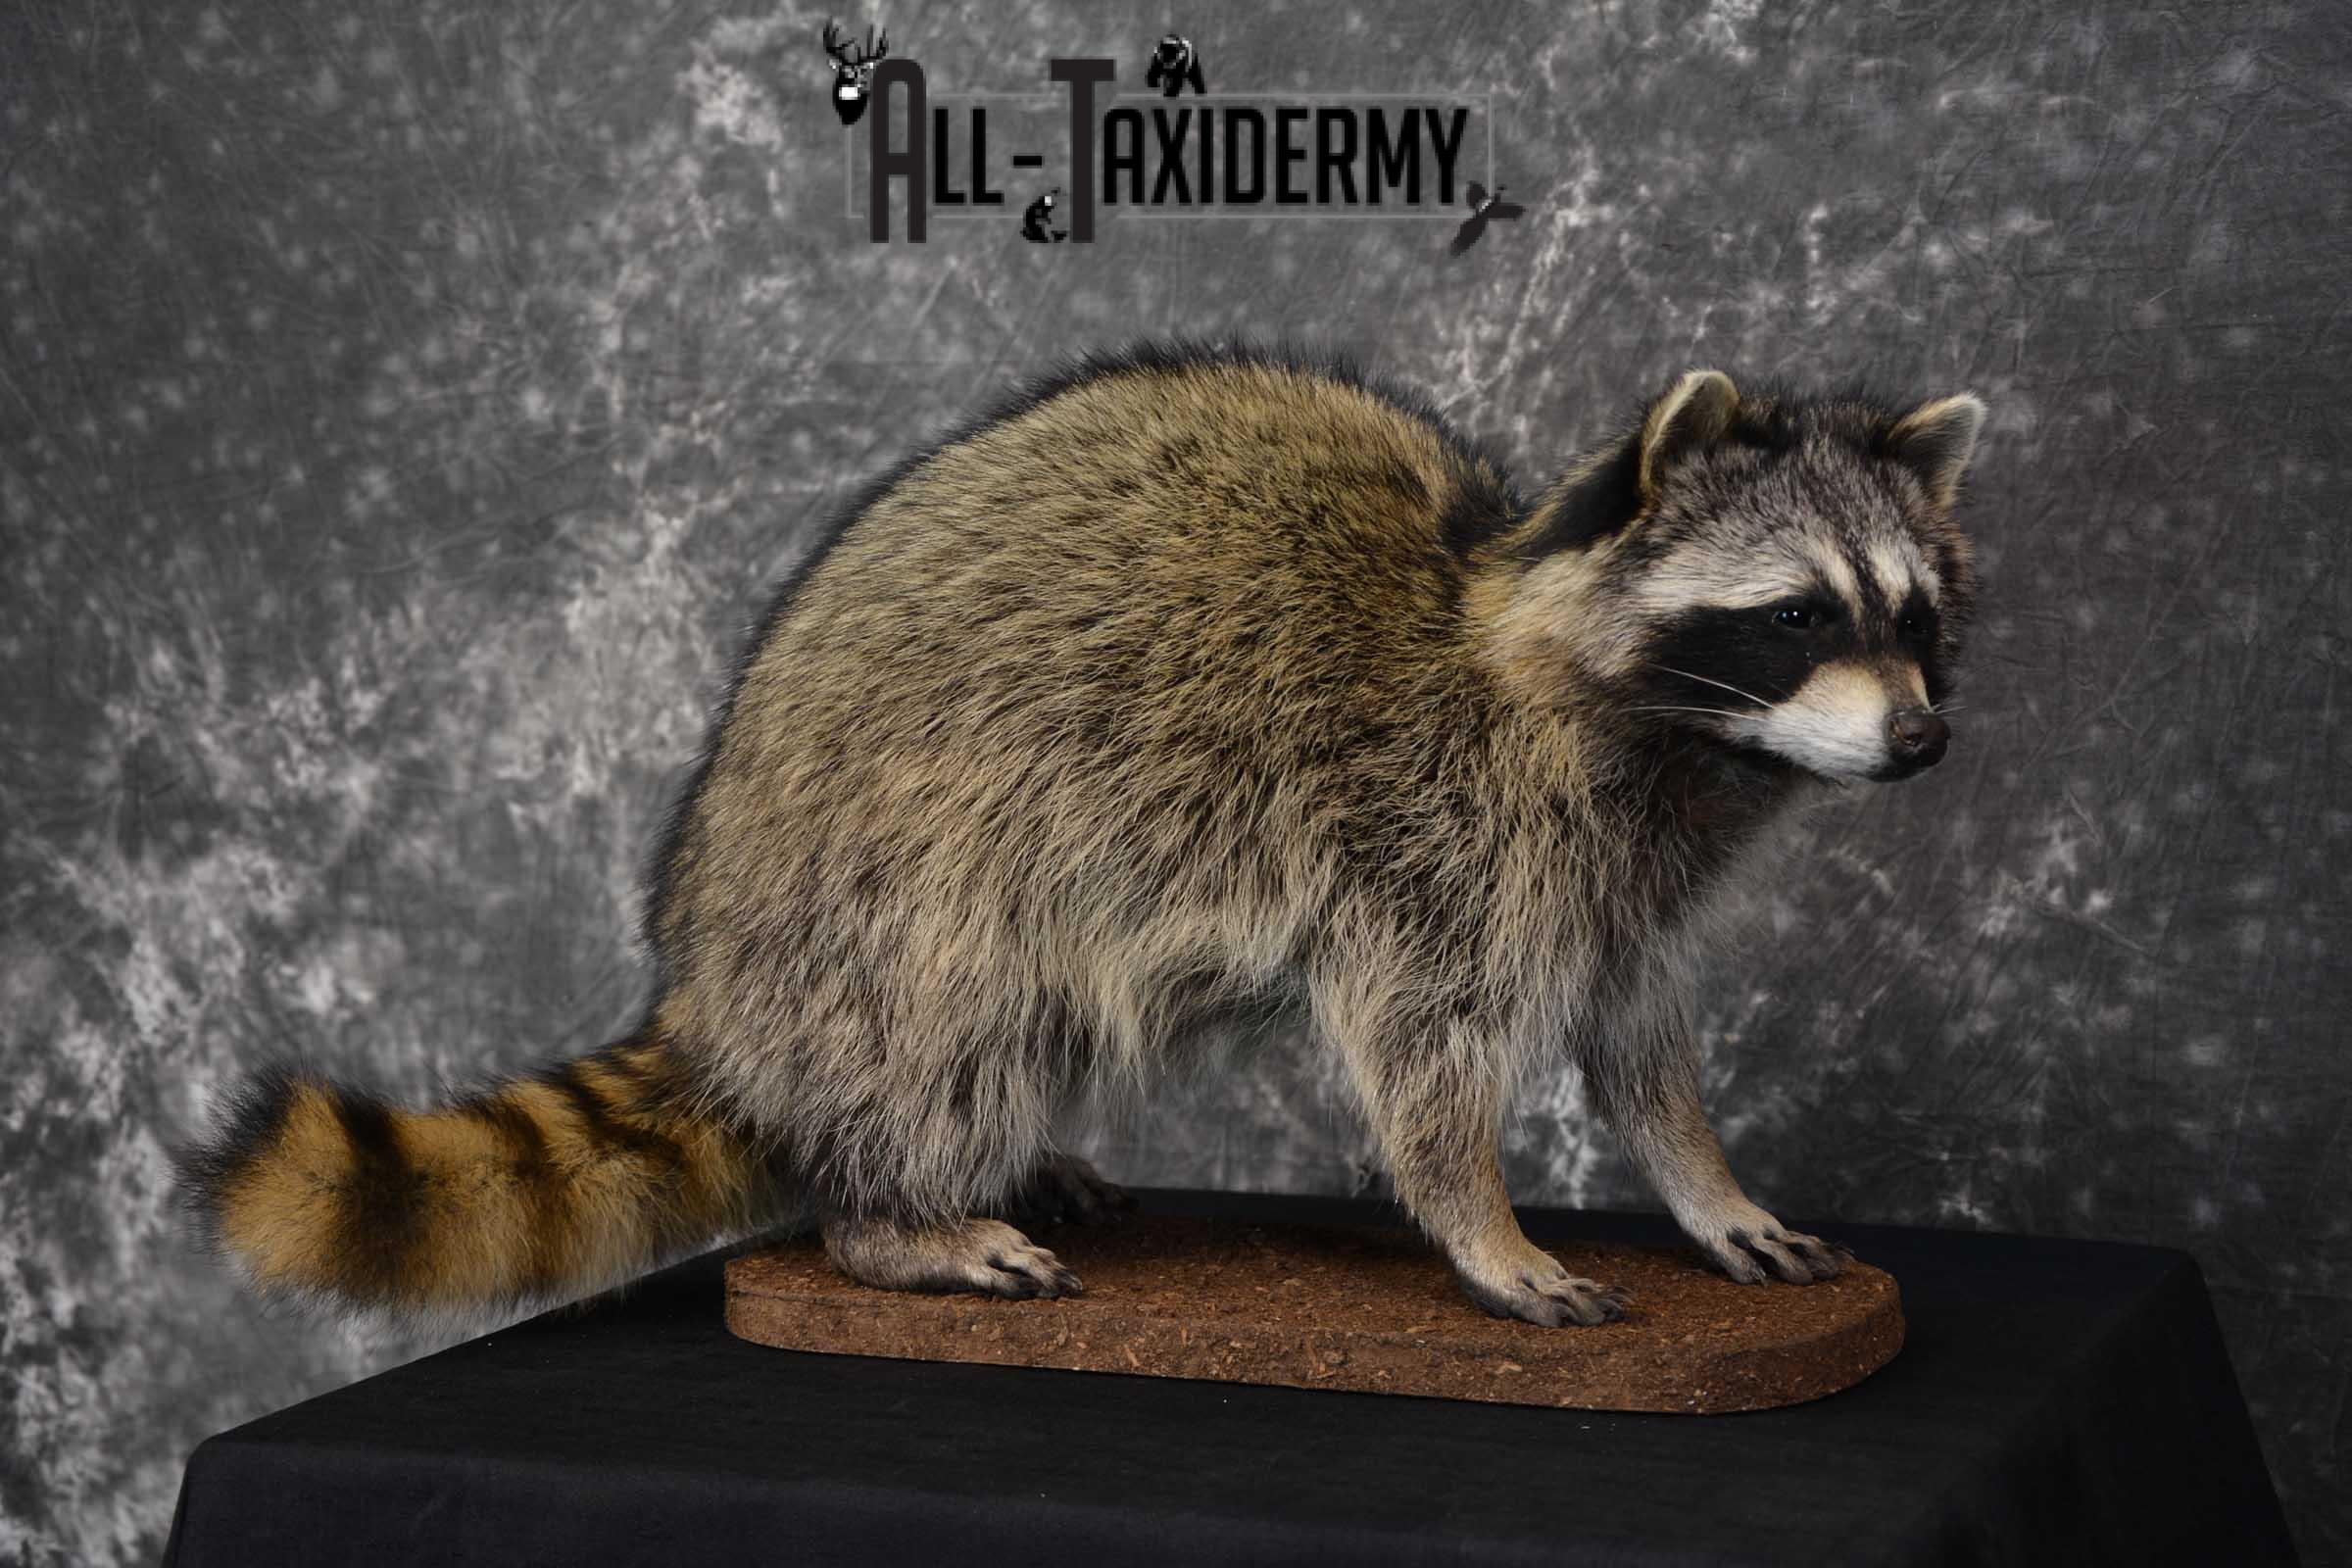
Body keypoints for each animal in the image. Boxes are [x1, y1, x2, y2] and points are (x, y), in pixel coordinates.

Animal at [180, 342, 1984, 1329]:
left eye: (1917, 619)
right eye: (1800, 615)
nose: (1923, 739)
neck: (1678, 745)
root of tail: (713, 975)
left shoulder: (1627, 869)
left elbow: (1637, 1035)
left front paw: (1703, 1181)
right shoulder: (1431, 827)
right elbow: (1421, 1051)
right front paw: (1480, 1218)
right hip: (897, 878)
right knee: (949, 1026)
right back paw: (895, 1216)